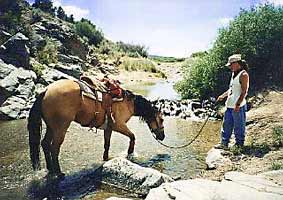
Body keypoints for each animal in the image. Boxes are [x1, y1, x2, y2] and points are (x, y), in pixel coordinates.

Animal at [27, 78, 165, 178]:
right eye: (162, 119)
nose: (162, 136)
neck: (129, 103)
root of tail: (46, 90)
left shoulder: (109, 128)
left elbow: (107, 144)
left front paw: (106, 158)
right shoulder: (119, 125)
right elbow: (132, 136)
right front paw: (130, 153)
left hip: (51, 127)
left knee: (45, 144)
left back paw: (50, 170)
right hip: (61, 127)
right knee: (54, 148)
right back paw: (59, 173)